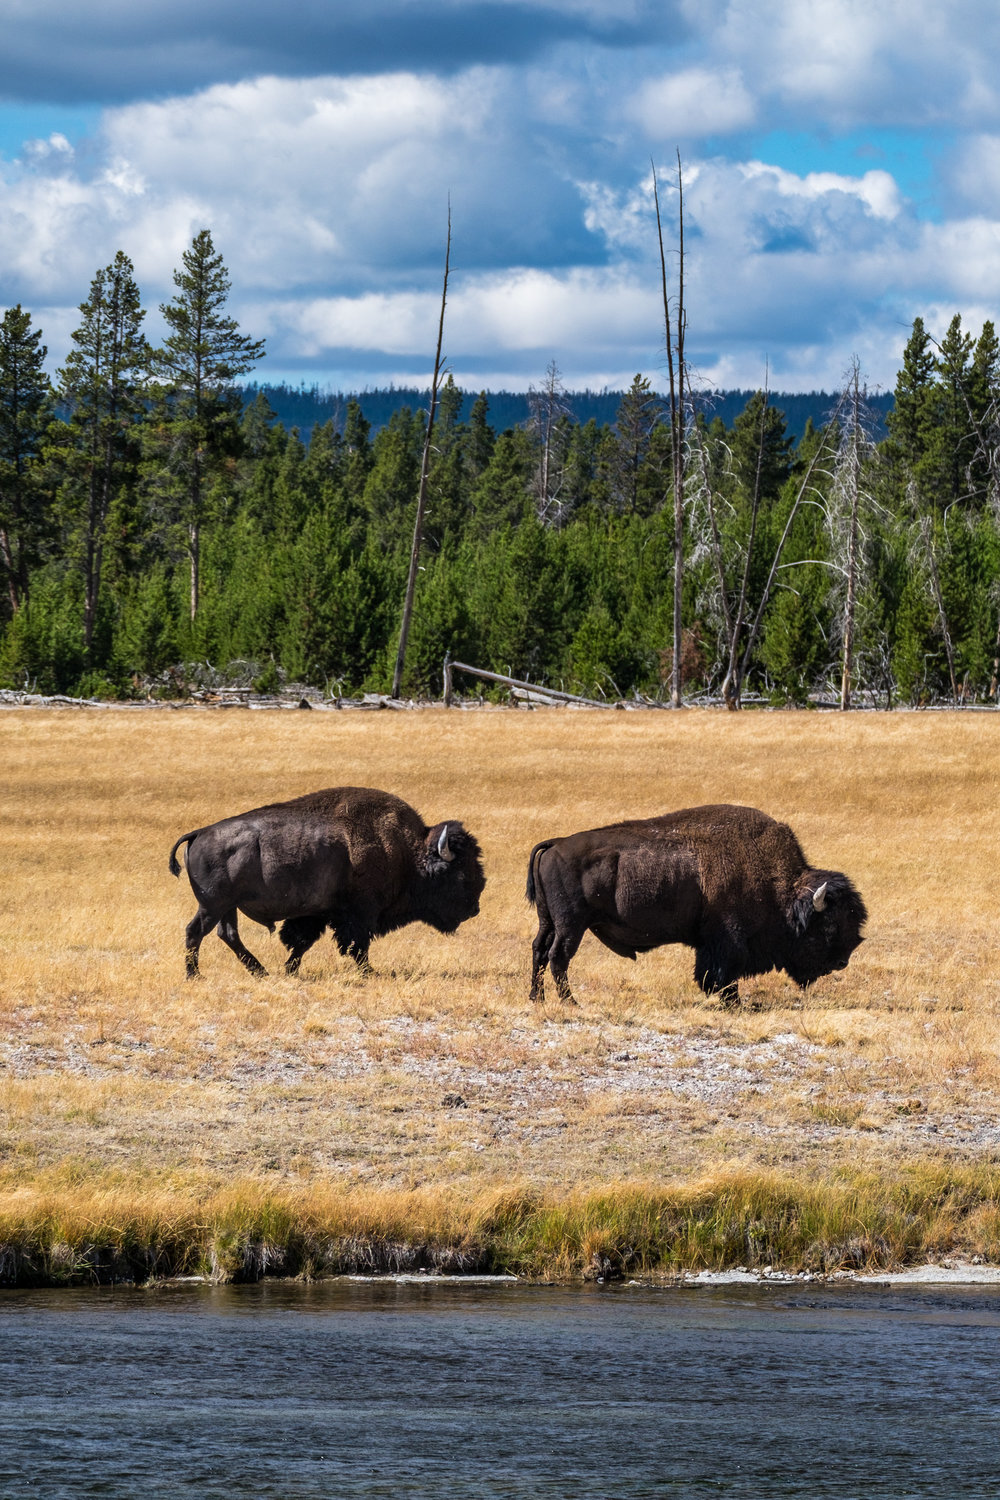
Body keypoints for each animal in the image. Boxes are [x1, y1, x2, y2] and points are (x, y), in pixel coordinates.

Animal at [170, 786, 485, 984]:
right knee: (196, 931)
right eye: (460, 872)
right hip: (213, 904)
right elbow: (358, 945)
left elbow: (302, 943)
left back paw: (260, 972)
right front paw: (369, 973)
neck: (406, 851)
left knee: (228, 934)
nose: (475, 908)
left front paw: (290, 970)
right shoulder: (359, 914)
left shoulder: (318, 915)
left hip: (227, 907)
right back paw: (195, 975)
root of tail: (199, 833)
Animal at [527, 798, 863, 1008]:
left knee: (539, 951)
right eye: (827, 925)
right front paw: (732, 1002)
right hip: (572, 925)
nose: (842, 961)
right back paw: (571, 1003)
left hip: (548, 921)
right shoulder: (725, 942)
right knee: (558, 956)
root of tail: (556, 844)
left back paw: (536, 999)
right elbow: (721, 974)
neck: (780, 885)